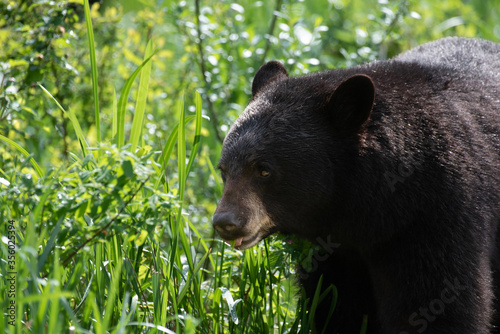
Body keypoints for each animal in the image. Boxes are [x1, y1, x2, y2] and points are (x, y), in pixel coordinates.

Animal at [212, 37, 500, 332]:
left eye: (264, 170)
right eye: (224, 170)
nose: (225, 222)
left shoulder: (437, 215)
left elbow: (440, 301)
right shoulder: (334, 254)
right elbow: (334, 304)